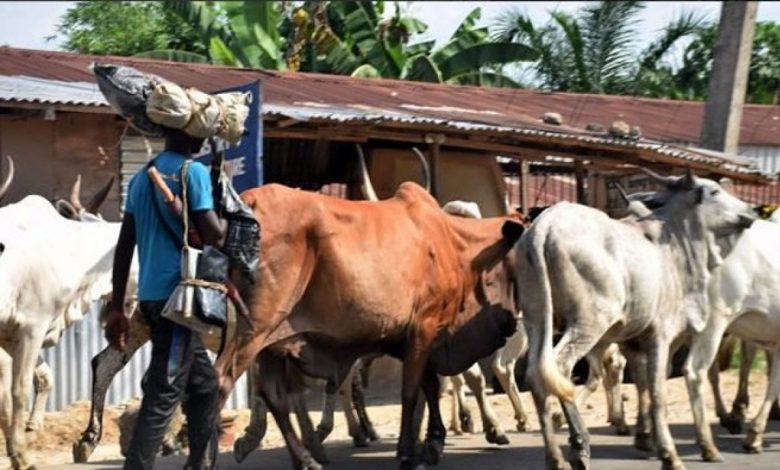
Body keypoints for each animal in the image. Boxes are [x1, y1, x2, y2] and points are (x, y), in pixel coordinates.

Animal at [213, 181, 524, 470]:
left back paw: (307, 459)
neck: (454, 243)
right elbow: (411, 390)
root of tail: (249, 200)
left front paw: (432, 442)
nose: (511, 322)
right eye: (512, 266)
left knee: (274, 396)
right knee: (222, 380)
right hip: (255, 327)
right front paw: (409, 452)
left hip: (272, 343)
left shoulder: (410, 337)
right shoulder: (424, 325)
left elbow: (430, 385)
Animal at [516, 170, 756, 470]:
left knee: (535, 376)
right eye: (713, 191)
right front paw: (669, 454)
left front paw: (645, 437)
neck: (677, 244)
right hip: (588, 322)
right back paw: (579, 447)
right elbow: (658, 392)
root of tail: (544, 225)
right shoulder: (661, 336)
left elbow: (643, 384)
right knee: (559, 368)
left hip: (536, 318)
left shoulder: (633, 339)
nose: (751, 210)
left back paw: (555, 457)